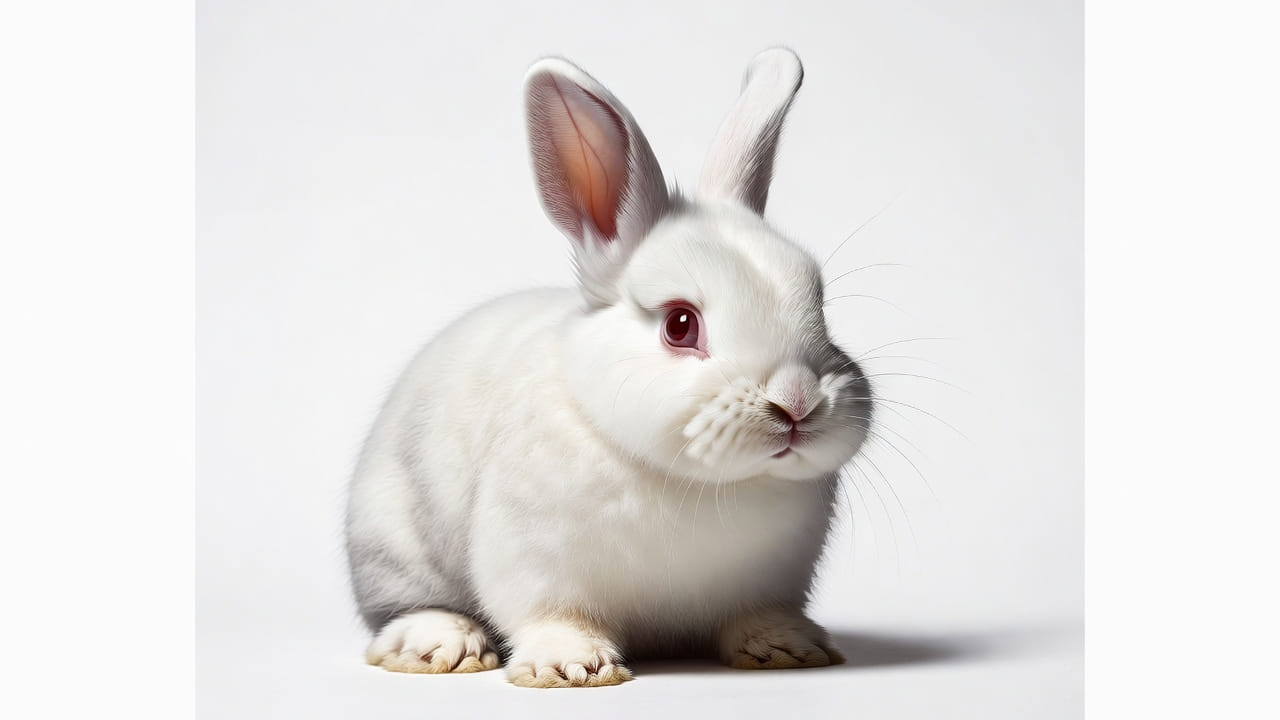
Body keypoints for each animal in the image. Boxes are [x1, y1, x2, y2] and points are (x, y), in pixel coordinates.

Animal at [345, 47, 872, 688]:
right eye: (679, 325)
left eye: (818, 302)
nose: (797, 401)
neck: (701, 486)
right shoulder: (534, 563)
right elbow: (552, 614)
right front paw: (573, 667)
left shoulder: (774, 582)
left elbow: (759, 615)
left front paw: (788, 649)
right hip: (392, 545)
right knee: (403, 609)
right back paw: (442, 645)